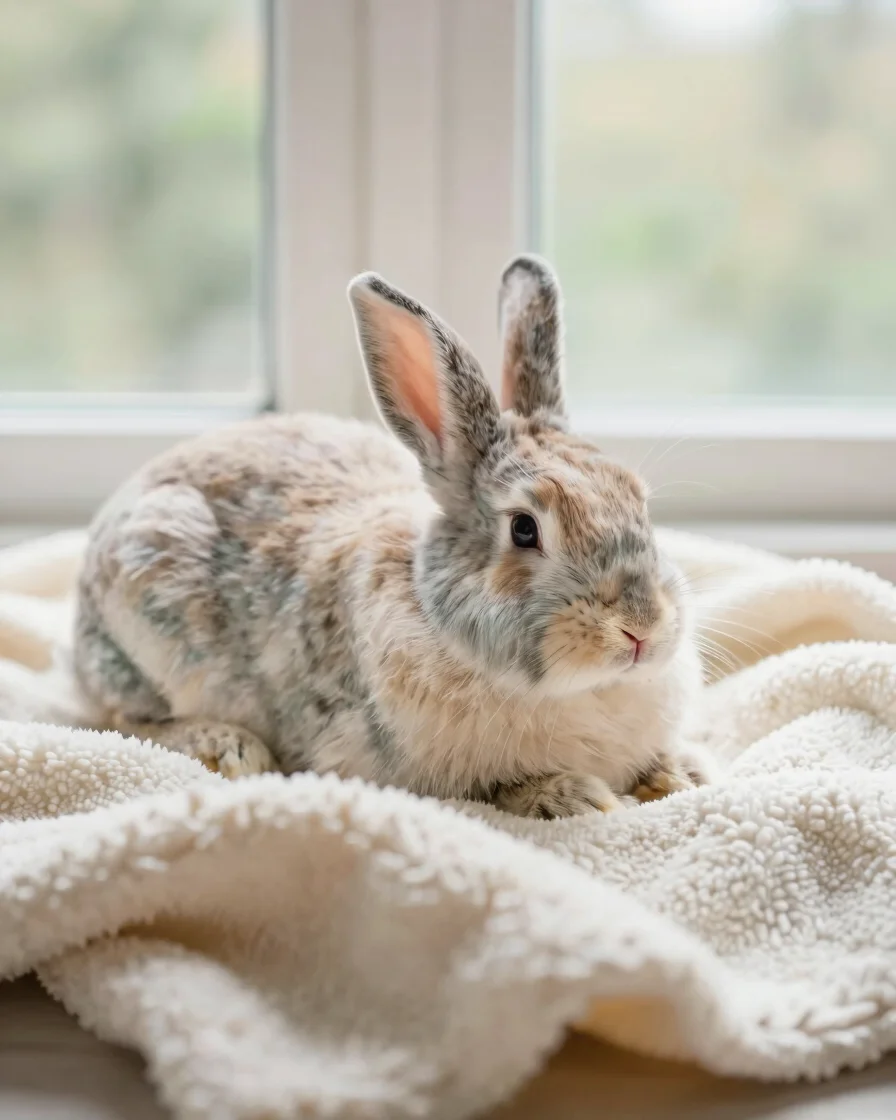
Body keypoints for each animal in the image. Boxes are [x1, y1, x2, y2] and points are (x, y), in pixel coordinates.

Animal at [73, 254, 711, 818]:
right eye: (524, 529)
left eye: (639, 500)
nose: (641, 628)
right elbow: (500, 788)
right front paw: (576, 796)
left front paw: (684, 774)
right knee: (120, 719)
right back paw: (229, 747)